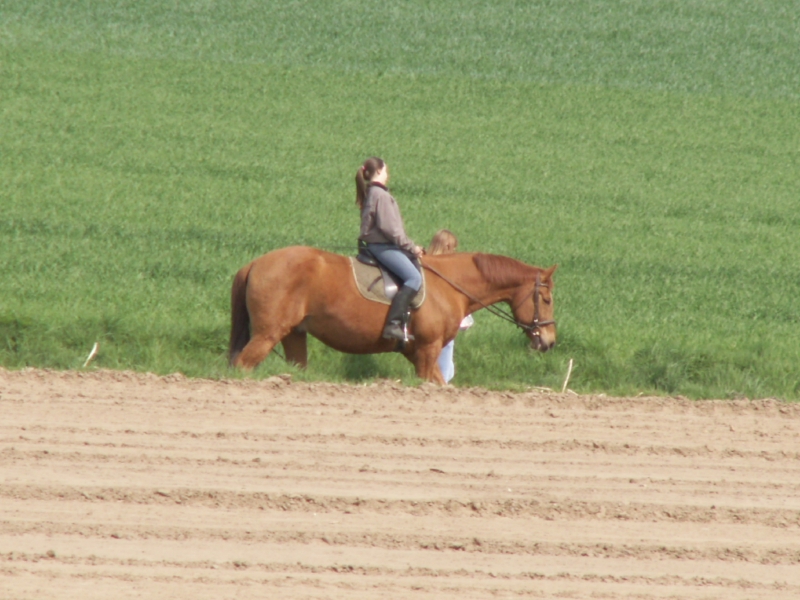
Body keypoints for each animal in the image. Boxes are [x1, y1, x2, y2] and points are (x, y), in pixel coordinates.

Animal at [228, 246, 557, 384]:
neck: (448, 284)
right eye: (547, 299)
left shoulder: (418, 354)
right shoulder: (427, 350)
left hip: (295, 335)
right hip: (267, 334)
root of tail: (255, 263)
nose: (549, 341)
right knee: (243, 365)